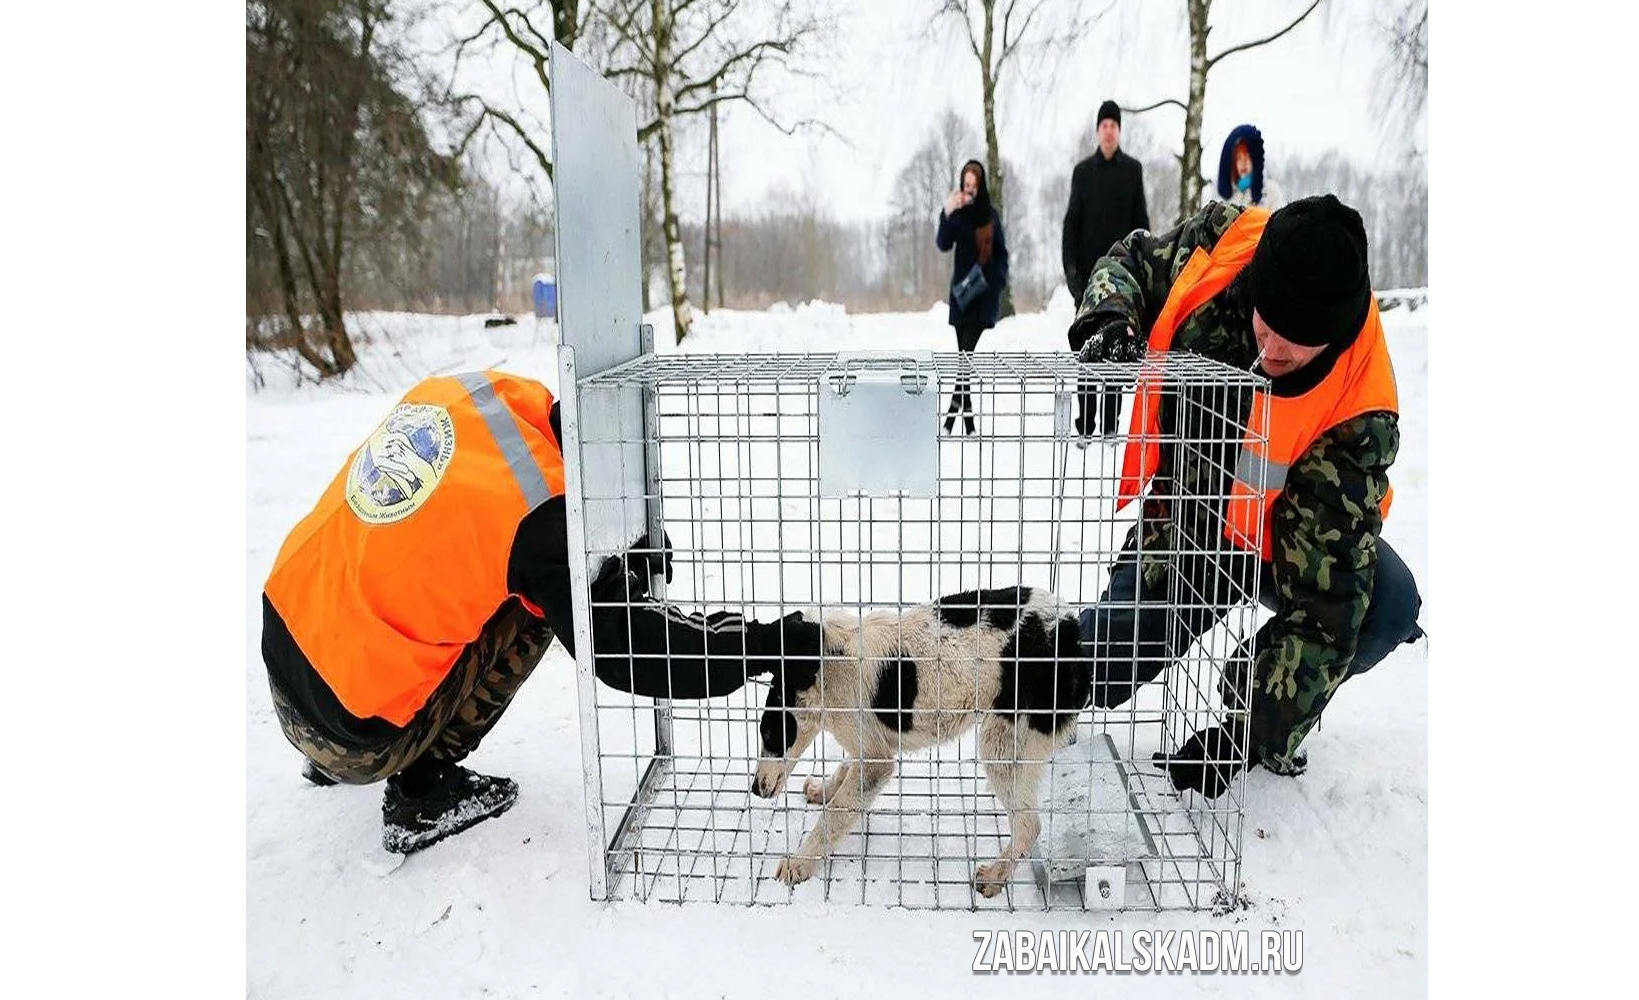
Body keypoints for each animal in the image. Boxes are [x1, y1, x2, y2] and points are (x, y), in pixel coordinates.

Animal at [750, 580, 1088, 891]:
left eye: (768, 733)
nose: (754, 788)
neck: (826, 662)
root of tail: (1070, 628)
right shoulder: (866, 746)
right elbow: (844, 771)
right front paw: (824, 789)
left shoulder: (876, 761)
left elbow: (833, 816)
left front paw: (799, 863)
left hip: (1002, 743)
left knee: (1029, 825)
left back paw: (995, 876)